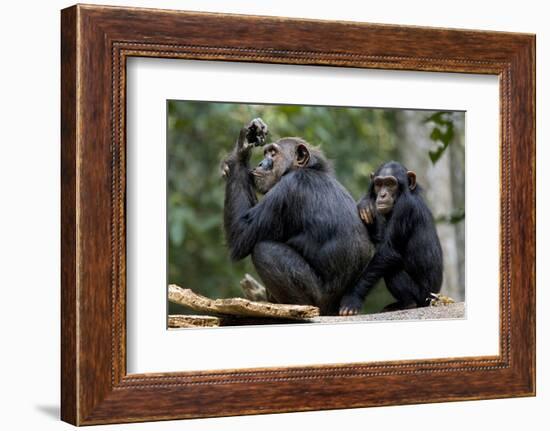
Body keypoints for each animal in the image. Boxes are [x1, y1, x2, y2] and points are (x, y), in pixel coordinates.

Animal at [221, 118, 376, 314]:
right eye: (266, 152)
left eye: (273, 153)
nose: (261, 163)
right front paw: (249, 136)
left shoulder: (286, 191)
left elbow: (240, 236)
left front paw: (241, 149)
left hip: (318, 299)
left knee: (265, 250)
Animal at [338, 160, 446, 316]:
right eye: (379, 184)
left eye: (390, 184)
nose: (382, 195)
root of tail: (436, 297)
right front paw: (365, 204)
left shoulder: (404, 208)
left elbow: (388, 251)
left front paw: (351, 299)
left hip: (423, 296)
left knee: (392, 270)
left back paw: (407, 304)